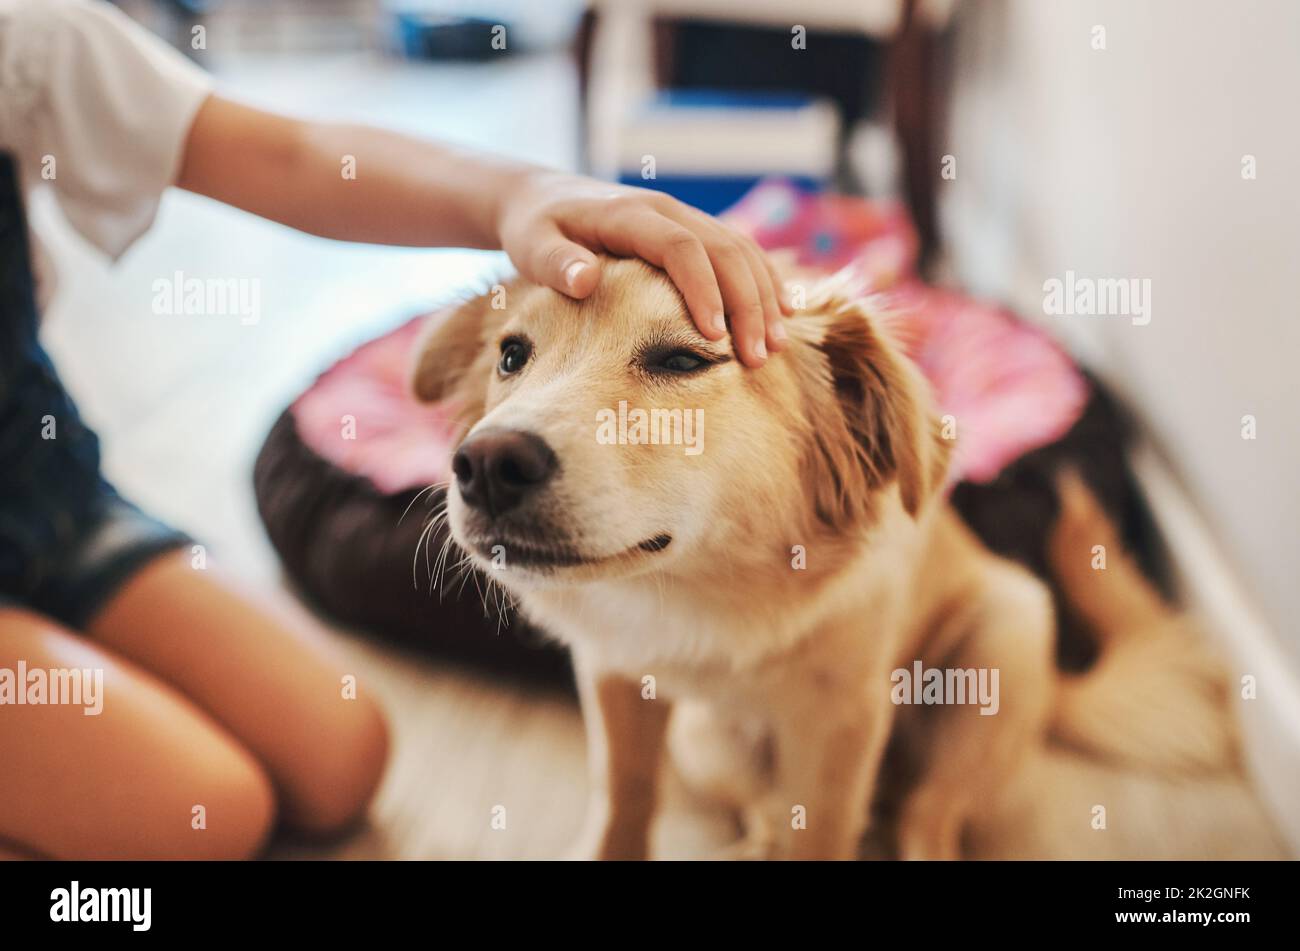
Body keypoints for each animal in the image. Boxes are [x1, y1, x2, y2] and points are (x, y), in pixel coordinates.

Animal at [410, 259, 1284, 862]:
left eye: (683, 361)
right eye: (512, 356)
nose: (485, 464)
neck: (703, 593)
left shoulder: (841, 721)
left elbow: (824, 831)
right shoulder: (615, 675)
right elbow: (622, 795)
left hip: (1005, 637)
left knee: (926, 820)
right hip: (703, 736)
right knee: (767, 812)